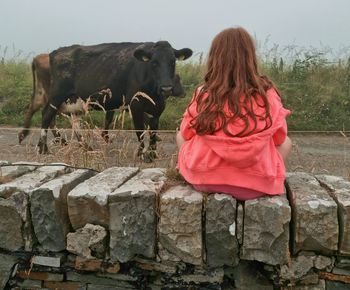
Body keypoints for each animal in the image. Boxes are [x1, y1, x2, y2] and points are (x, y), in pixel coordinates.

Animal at [37, 41, 193, 156]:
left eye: (173, 62)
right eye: (154, 63)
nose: (166, 88)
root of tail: (57, 52)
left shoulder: (158, 106)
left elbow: (153, 130)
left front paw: (153, 154)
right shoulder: (135, 104)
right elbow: (140, 130)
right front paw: (142, 153)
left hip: (73, 100)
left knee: (74, 121)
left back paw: (86, 147)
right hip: (57, 94)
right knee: (47, 115)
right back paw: (42, 148)